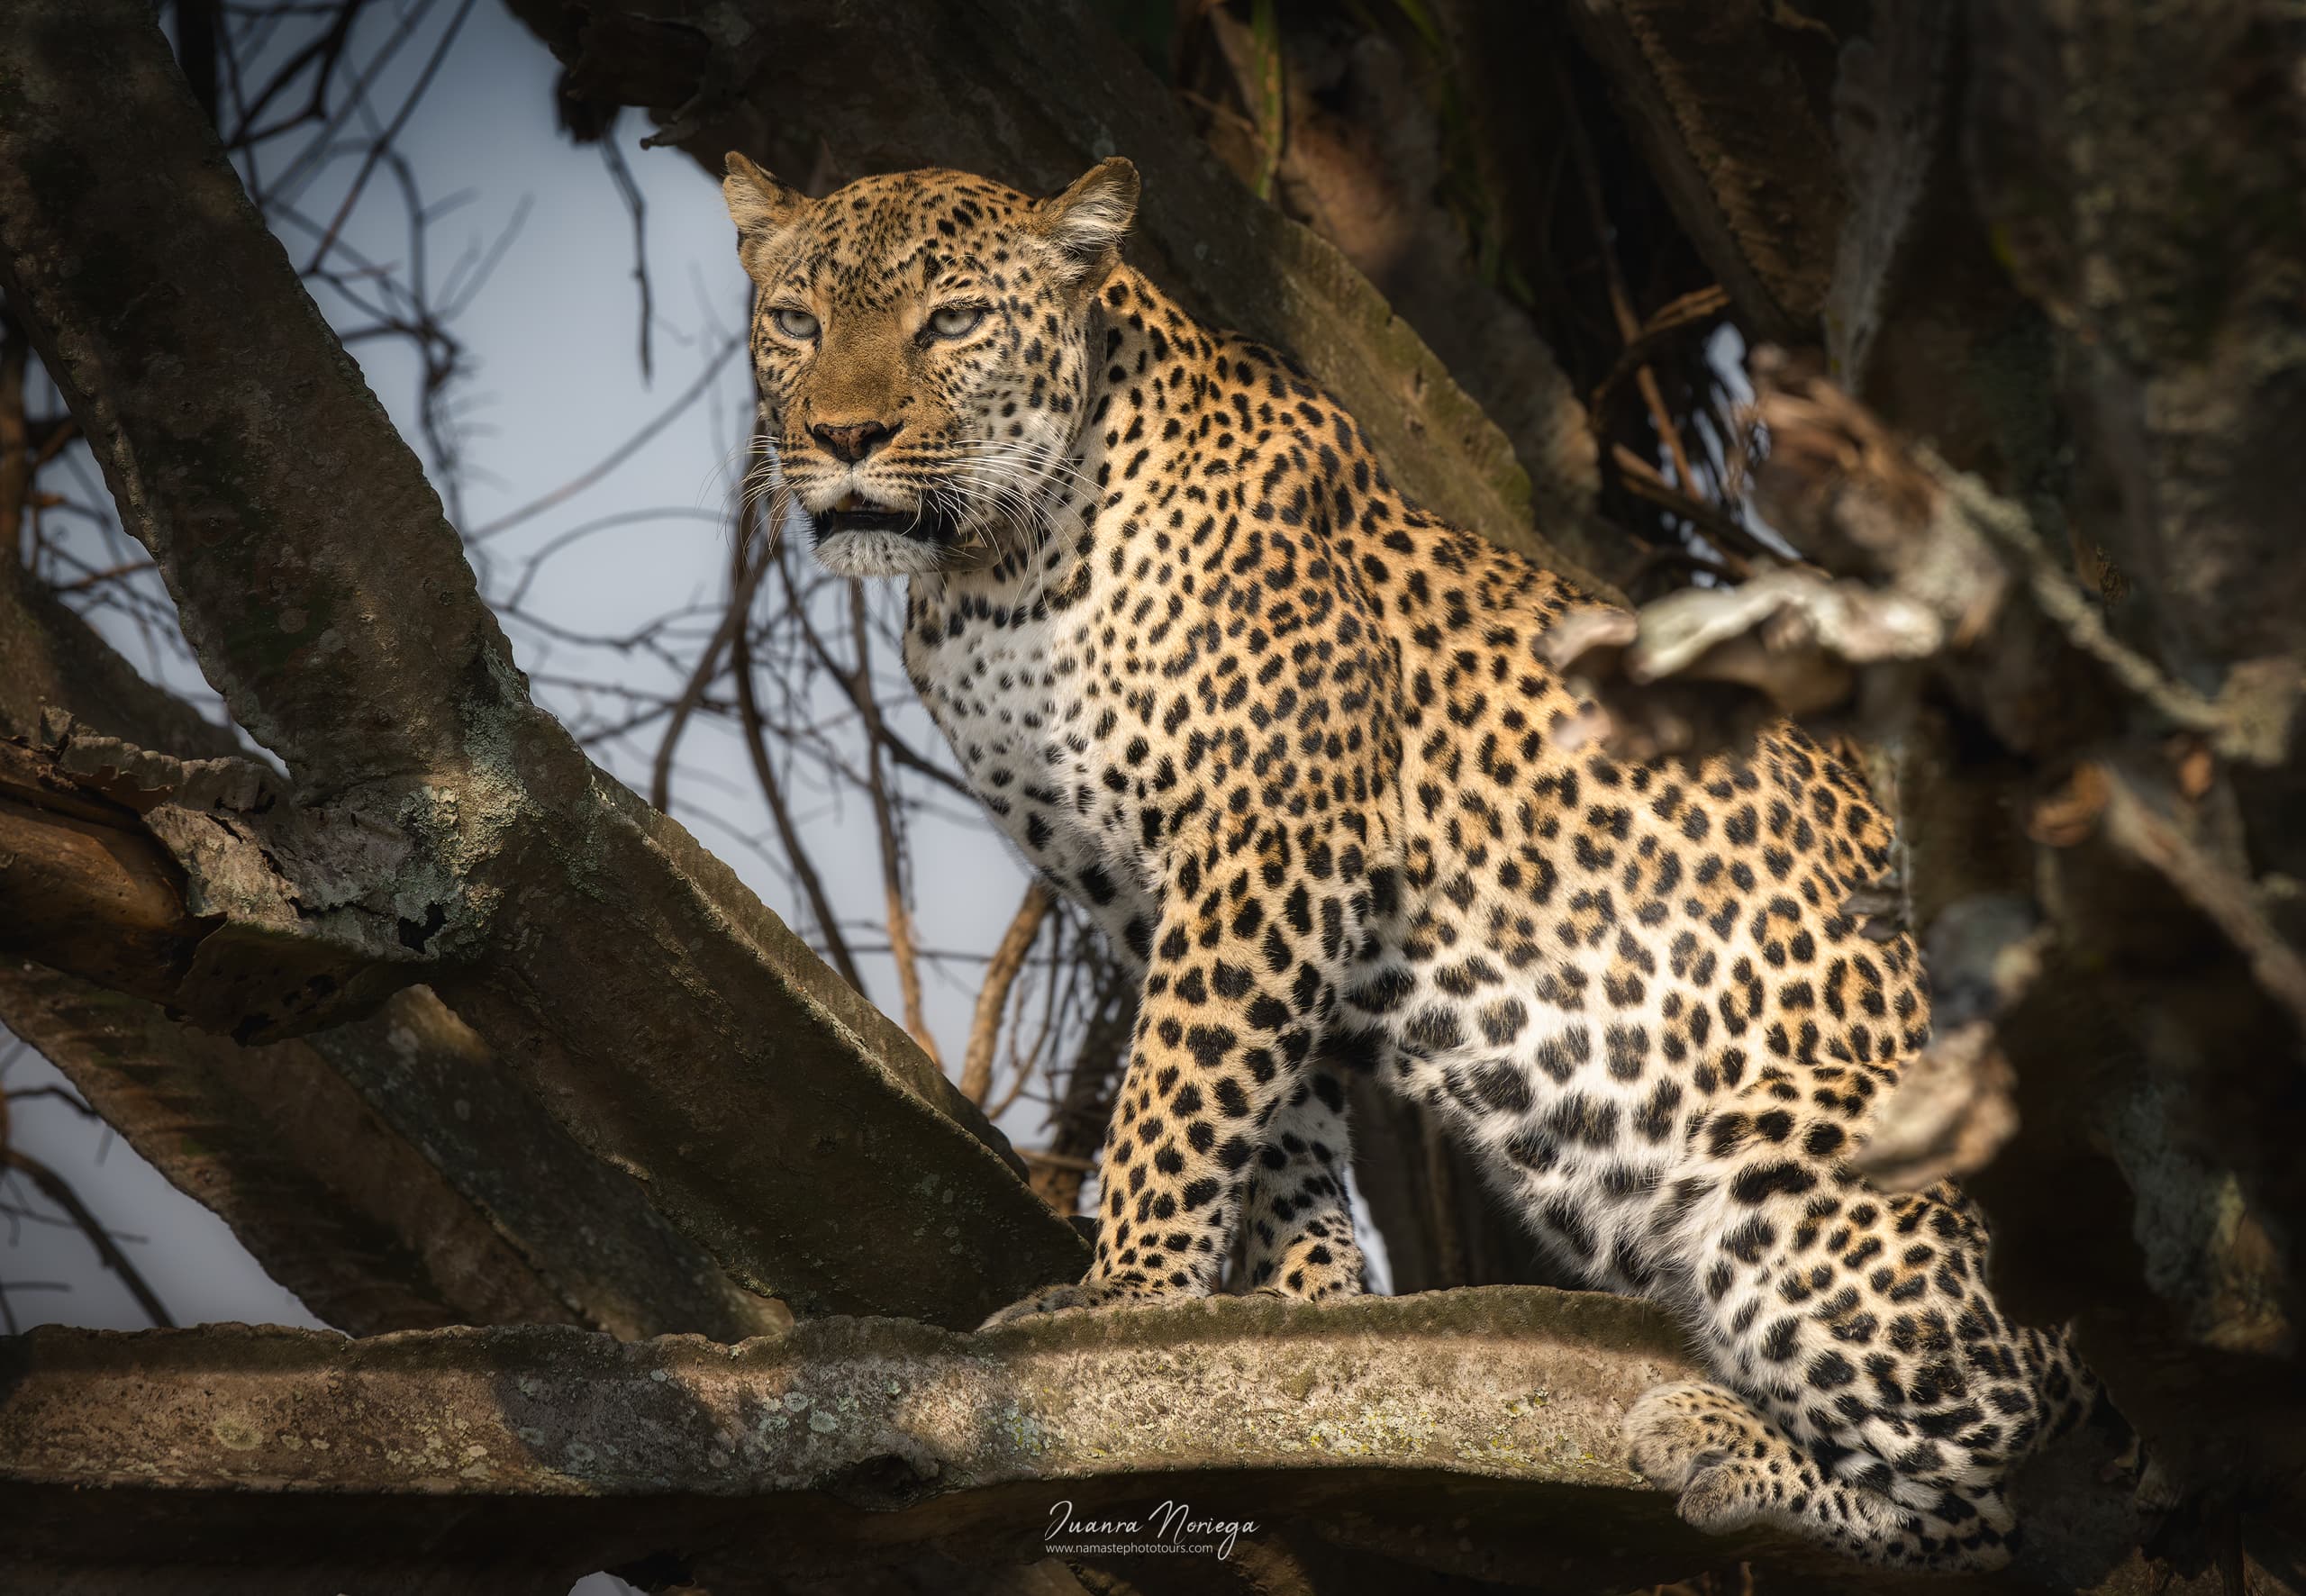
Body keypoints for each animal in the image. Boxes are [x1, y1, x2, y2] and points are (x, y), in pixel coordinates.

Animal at [722, 150, 2101, 1571]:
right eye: (797, 323)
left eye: (950, 322)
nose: (843, 437)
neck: (991, 577)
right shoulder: (1162, 894)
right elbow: (1274, 1121)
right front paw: (1306, 1317)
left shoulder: (1266, 835)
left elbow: (1176, 1089)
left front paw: (1122, 1301)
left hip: (1796, 1159)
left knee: (1982, 1517)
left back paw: (1726, 1448)